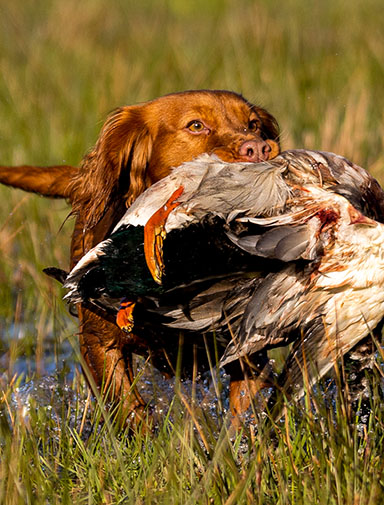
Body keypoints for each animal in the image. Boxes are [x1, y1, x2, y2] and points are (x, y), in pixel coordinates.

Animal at [0, 90, 280, 422]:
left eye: (253, 124)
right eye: (196, 125)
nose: (260, 148)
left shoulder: (246, 345)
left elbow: (242, 412)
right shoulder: (99, 342)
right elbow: (129, 408)